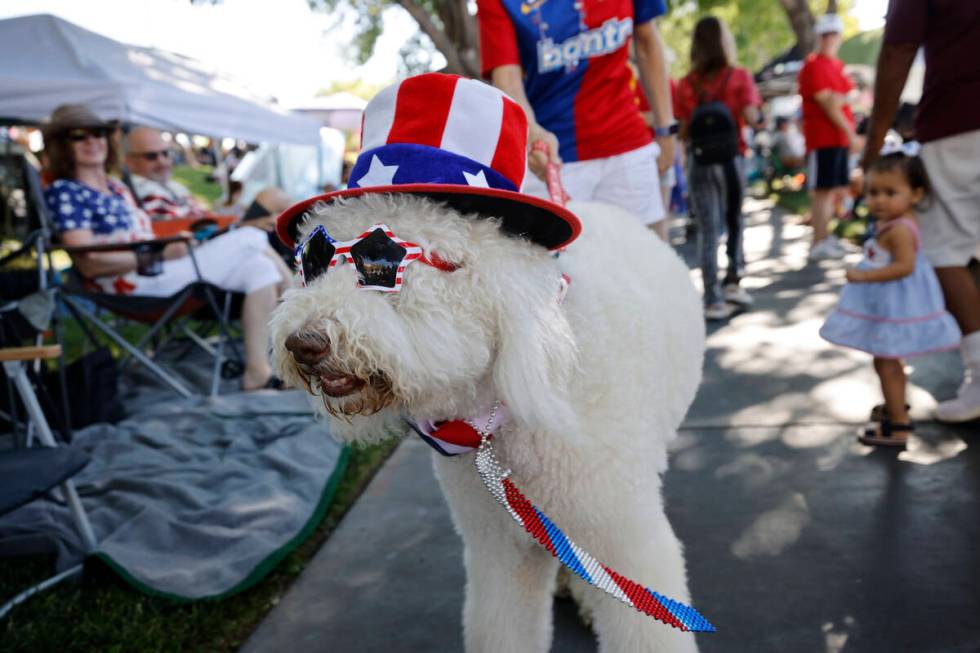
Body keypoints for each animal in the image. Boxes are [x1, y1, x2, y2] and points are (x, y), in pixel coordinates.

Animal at [270, 186, 704, 648]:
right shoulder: (499, 548)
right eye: (310, 263)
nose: (302, 344)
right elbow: (503, 626)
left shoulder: (623, 538)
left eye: (379, 264)